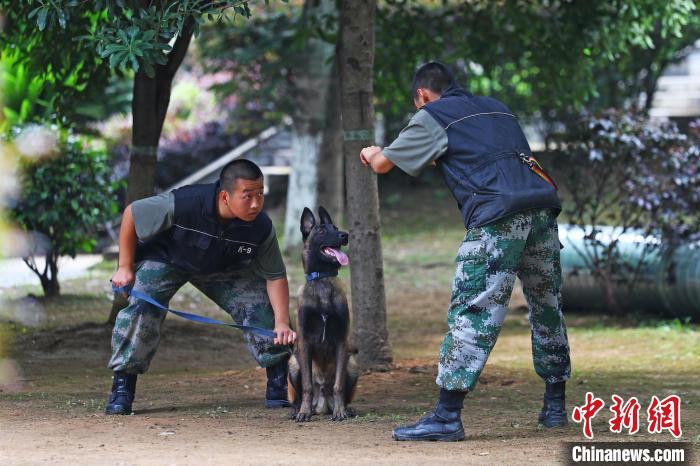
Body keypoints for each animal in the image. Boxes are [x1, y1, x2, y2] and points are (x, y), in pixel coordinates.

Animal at [288, 208, 358, 422]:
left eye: (336, 228)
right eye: (321, 231)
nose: (344, 235)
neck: (323, 280)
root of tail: (323, 403)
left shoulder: (342, 341)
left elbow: (338, 385)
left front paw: (340, 411)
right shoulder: (304, 342)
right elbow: (307, 386)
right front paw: (303, 411)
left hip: (352, 365)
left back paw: (346, 408)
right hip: (293, 364)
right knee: (301, 393)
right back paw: (298, 409)